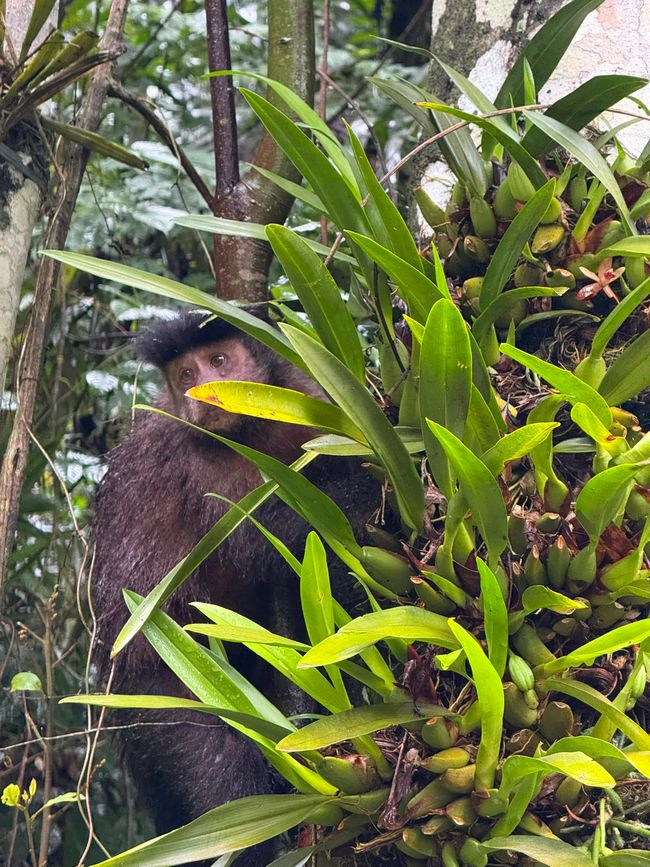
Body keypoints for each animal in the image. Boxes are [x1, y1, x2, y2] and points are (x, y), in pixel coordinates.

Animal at [91, 310, 383, 866]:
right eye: (186, 374)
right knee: (223, 778)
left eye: (219, 361)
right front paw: (380, 490)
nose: (203, 391)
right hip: (165, 684)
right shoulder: (201, 462)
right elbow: (259, 536)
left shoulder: (304, 400)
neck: (251, 427)